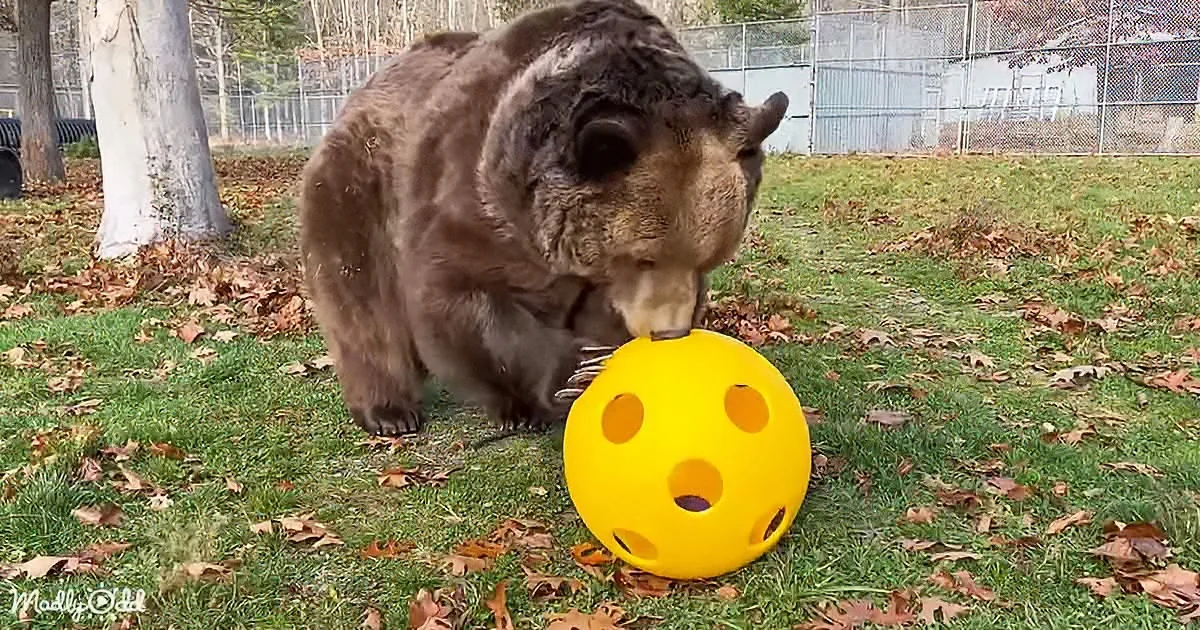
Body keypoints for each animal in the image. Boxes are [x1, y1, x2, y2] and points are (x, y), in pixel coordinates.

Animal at [297, 0, 789, 436]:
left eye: (708, 262)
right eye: (645, 257)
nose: (669, 332)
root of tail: (366, 86)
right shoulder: (474, 200)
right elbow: (462, 300)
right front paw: (573, 374)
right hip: (358, 187)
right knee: (362, 299)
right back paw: (391, 412)